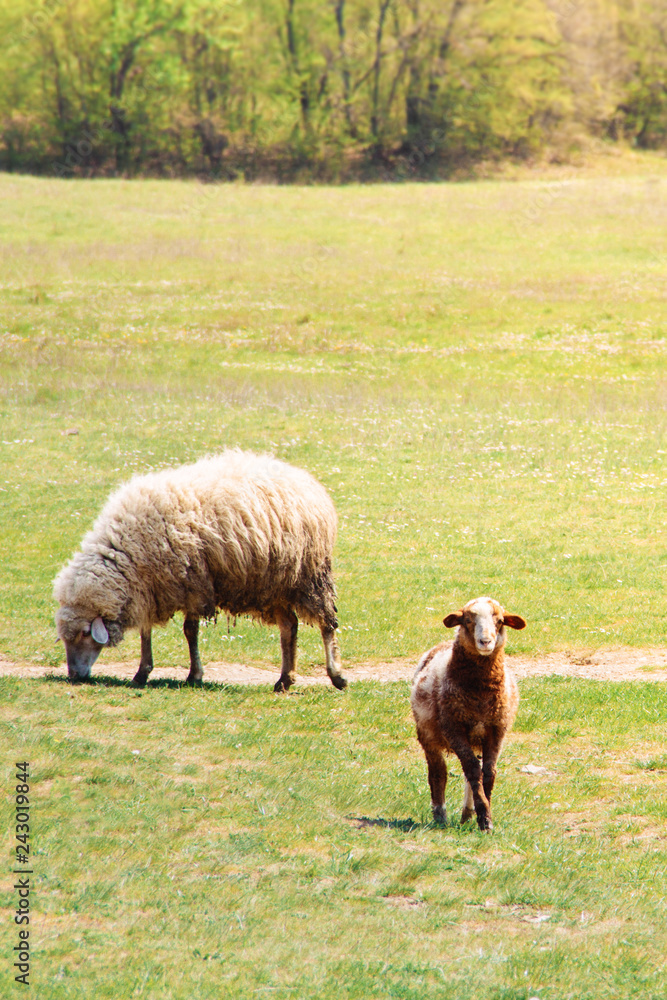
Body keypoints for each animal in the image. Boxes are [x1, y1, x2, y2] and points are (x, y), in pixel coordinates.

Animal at [53, 449, 347, 692]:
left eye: (84, 633)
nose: (74, 676)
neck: (124, 552)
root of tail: (302, 477)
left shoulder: (191, 583)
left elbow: (190, 631)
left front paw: (194, 675)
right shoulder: (150, 587)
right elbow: (147, 631)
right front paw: (142, 672)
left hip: (309, 575)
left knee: (326, 623)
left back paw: (337, 676)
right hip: (274, 583)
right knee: (289, 626)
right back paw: (284, 680)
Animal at [410, 597, 526, 831]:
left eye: (500, 621)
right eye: (468, 620)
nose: (485, 641)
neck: (481, 692)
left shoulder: (496, 728)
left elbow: (488, 772)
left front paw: (485, 815)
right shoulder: (453, 728)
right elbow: (472, 770)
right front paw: (484, 817)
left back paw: (466, 813)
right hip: (427, 733)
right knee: (438, 772)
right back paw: (440, 816)